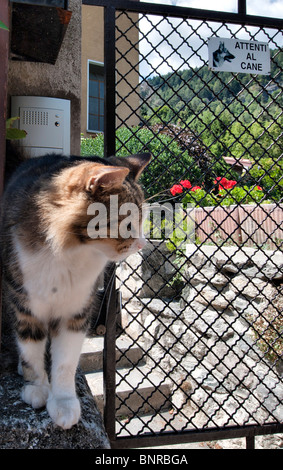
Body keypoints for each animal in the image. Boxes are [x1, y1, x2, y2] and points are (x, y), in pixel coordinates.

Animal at [0, 151, 151, 430]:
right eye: (127, 224)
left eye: (142, 220)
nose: (142, 244)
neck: (68, 252)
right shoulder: (24, 303)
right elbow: (31, 348)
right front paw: (36, 387)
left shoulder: (77, 310)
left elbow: (65, 363)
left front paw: (64, 404)